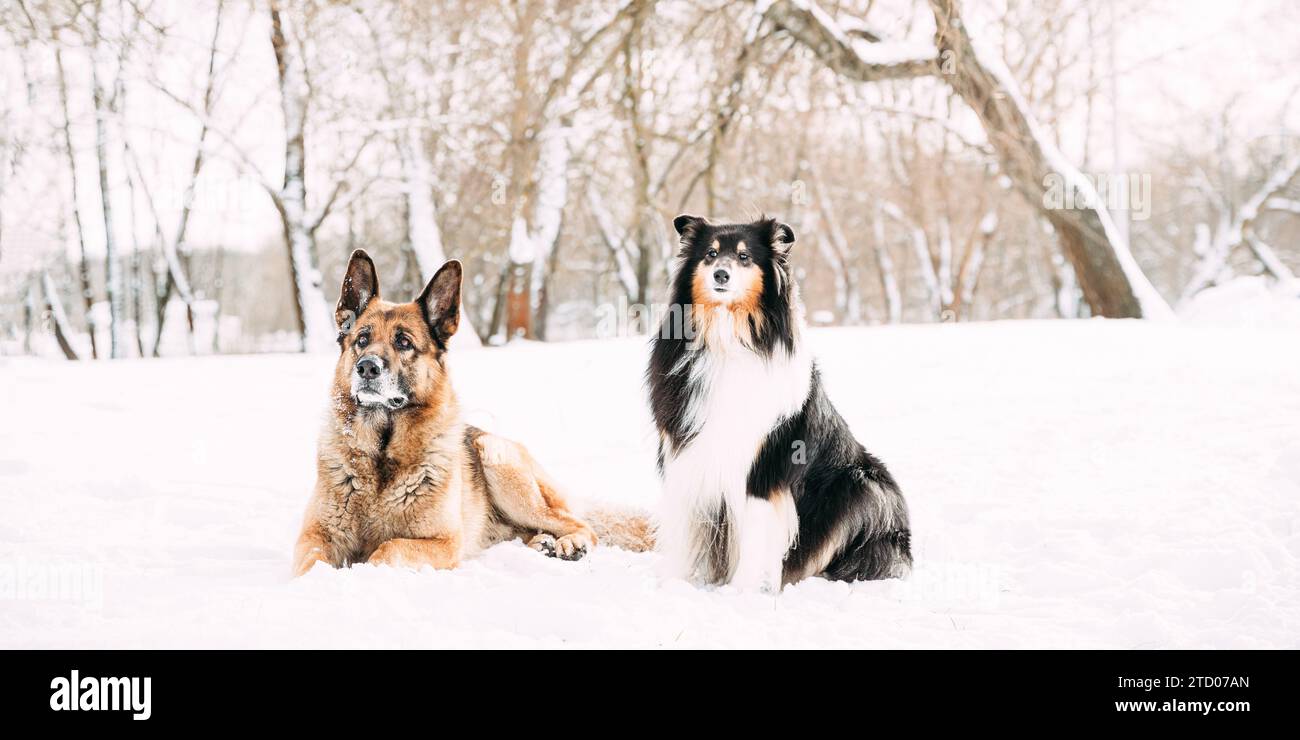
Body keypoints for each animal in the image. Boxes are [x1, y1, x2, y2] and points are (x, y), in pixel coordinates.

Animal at [289, 251, 644, 574]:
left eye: (404, 343)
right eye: (362, 340)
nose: (366, 367)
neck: (382, 454)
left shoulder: (443, 542)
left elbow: (386, 549)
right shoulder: (314, 536)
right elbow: (312, 564)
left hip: (498, 461)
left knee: (579, 523)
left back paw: (570, 544)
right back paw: (541, 542)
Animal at [644, 211, 909, 587]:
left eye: (744, 257)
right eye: (710, 254)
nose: (720, 274)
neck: (727, 337)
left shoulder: (763, 471)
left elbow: (755, 540)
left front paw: (742, 591)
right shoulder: (684, 457)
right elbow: (683, 534)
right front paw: (673, 584)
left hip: (862, 487)